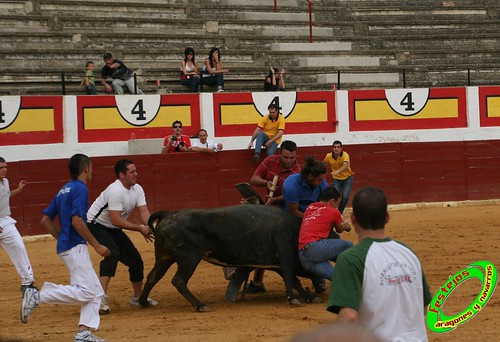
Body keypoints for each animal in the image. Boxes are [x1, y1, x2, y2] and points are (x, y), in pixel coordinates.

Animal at [139, 204, 322, 312]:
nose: (319, 282)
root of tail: (168, 214)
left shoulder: (274, 263)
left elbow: (293, 280)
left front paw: (310, 297)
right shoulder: (284, 254)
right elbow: (290, 278)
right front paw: (294, 299)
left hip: (164, 256)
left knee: (153, 276)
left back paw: (143, 302)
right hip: (189, 258)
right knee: (179, 280)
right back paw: (201, 305)